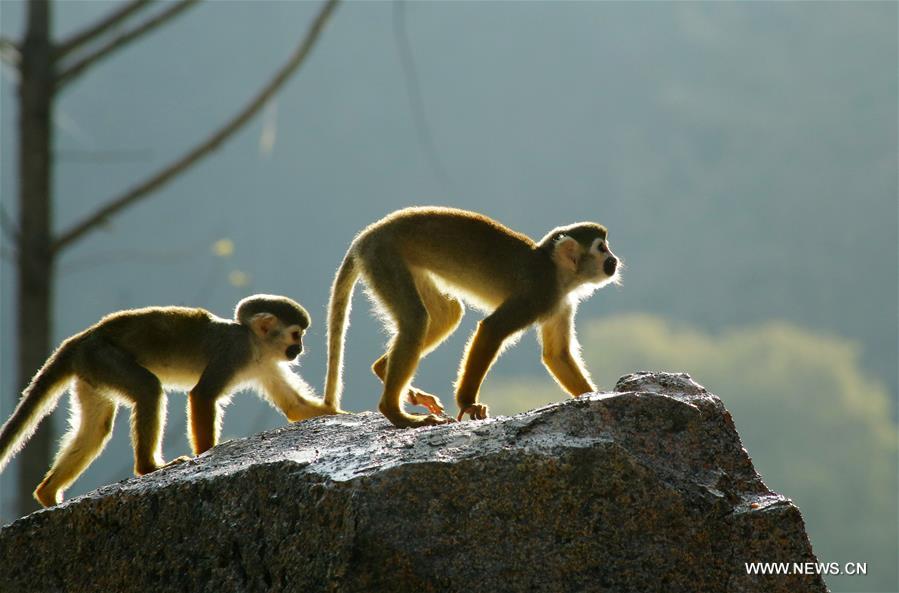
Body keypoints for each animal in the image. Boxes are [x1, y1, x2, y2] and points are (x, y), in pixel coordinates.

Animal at [0, 294, 336, 507]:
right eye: (296, 334)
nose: (299, 349)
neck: (254, 343)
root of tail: (80, 340)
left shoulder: (265, 363)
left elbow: (295, 407)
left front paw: (336, 411)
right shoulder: (234, 353)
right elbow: (202, 394)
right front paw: (206, 453)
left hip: (92, 371)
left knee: (95, 429)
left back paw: (47, 494)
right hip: (103, 357)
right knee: (148, 389)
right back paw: (148, 467)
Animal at [323, 206, 620, 429]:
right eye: (602, 248)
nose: (614, 260)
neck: (557, 273)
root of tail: (367, 235)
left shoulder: (560, 303)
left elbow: (556, 355)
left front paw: (594, 396)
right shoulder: (539, 293)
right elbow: (492, 329)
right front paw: (468, 403)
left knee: (446, 314)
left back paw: (384, 369)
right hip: (384, 256)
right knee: (417, 319)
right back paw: (395, 412)